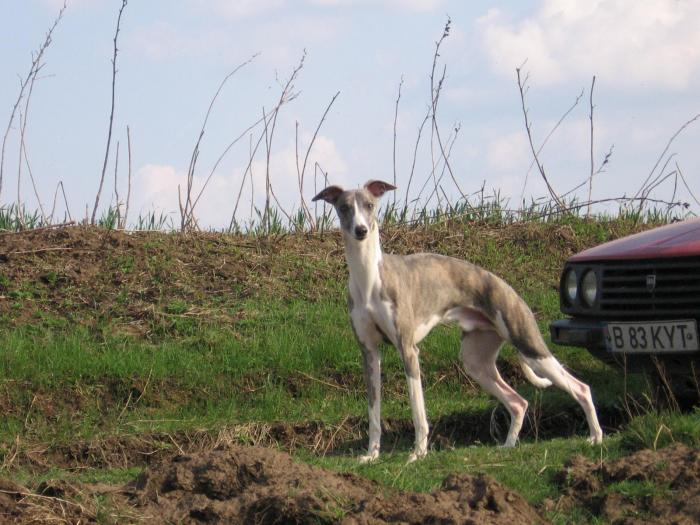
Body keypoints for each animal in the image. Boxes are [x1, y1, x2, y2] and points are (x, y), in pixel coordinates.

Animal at [314, 180, 604, 462]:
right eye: (344, 208)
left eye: (370, 205)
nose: (361, 230)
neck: (369, 278)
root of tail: (509, 289)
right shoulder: (369, 353)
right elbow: (373, 412)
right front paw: (371, 455)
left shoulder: (408, 349)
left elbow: (418, 409)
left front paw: (418, 453)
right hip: (476, 360)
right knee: (518, 402)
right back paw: (509, 446)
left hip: (529, 345)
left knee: (582, 388)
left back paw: (595, 437)